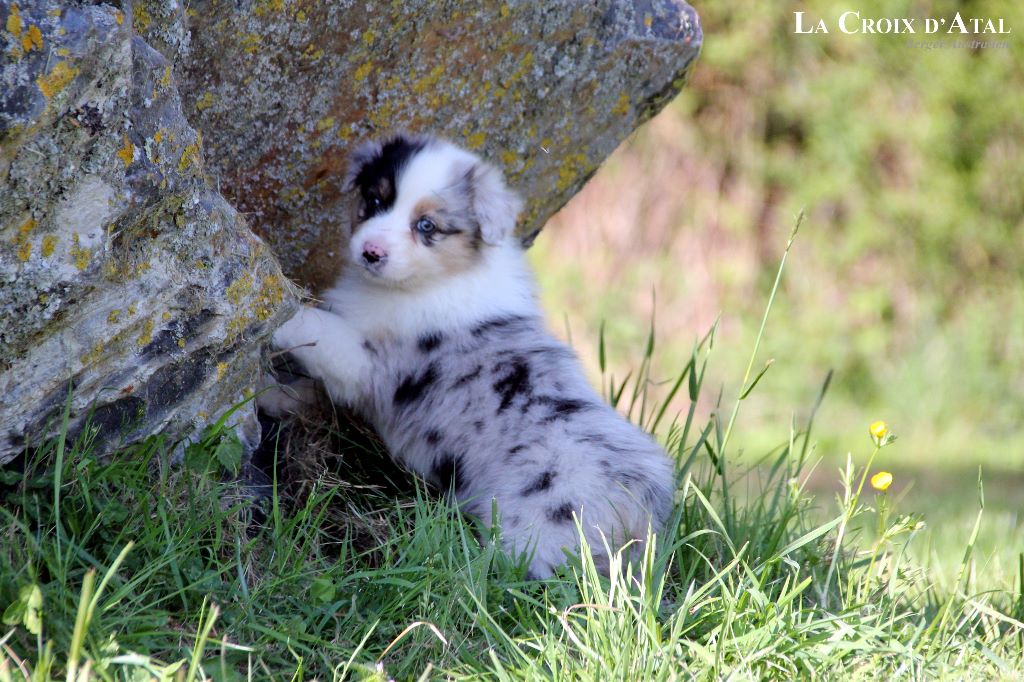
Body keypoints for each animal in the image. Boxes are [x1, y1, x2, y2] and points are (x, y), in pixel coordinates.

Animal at [264, 134, 674, 578]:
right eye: (375, 200)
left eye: (427, 226)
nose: (371, 252)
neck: (440, 278)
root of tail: (642, 516)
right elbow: (306, 392)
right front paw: (270, 395)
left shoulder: (369, 364)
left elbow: (318, 330)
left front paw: (278, 312)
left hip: (532, 534)